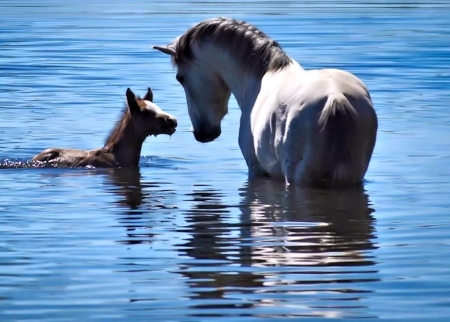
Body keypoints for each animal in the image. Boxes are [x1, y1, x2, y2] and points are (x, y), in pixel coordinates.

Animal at [155, 17, 376, 187]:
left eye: (180, 78)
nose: (202, 134)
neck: (261, 76)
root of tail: (335, 98)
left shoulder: (255, 168)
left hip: (299, 177)